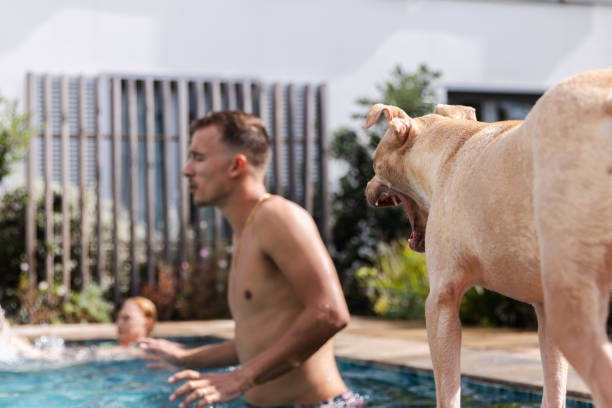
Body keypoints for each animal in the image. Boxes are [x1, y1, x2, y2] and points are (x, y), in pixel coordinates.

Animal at [366, 70, 608, 408]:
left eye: (374, 162)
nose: (366, 187)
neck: (451, 148)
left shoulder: (441, 302)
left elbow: (448, 390)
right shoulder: (545, 311)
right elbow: (554, 387)